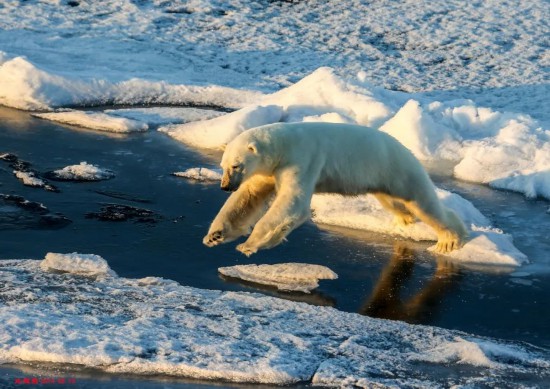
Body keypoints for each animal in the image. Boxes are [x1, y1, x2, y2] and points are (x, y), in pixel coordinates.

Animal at [204, 121, 470, 255]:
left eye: (236, 165)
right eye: (223, 165)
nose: (225, 186)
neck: (283, 145)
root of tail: (408, 150)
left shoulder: (303, 159)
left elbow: (293, 202)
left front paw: (247, 245)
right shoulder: (269, 170)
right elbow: (248, 197)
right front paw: (214, 235)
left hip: (400, 170)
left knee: (423, 203)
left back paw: (448, 241)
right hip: (384, 177)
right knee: (394, 202)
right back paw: (404, 219)